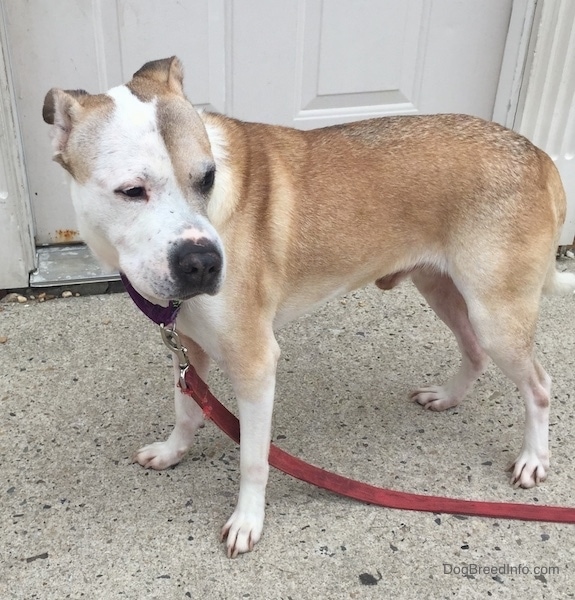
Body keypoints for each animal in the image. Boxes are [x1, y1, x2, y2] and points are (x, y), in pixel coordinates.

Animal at [44, 57, 575, 556]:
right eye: (132, 191)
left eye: (208, 178)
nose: (205, 263)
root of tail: (539, 156)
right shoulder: (187, 348)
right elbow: (187, 409)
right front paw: (175, 451)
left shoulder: (255, 364)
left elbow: (253, 459)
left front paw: (248, 520)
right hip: (444, 291)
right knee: (474, 352)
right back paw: (448, 397)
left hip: (496, 315)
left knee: (539, 386)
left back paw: (534, 458)